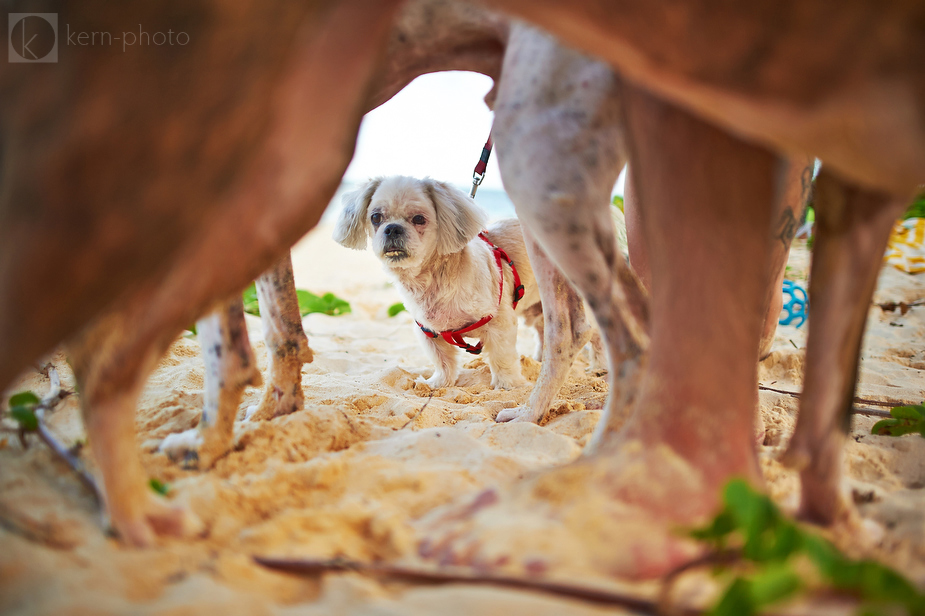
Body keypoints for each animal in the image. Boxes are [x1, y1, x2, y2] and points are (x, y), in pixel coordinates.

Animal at [332, 176, 540, 390]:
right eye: (376, 217)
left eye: (418, 219)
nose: (392, 228)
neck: (433, 282)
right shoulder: (429, 332)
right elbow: (442, 360)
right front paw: (439, 383)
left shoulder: (500, 323)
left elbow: (502, 357)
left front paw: (508, 385)